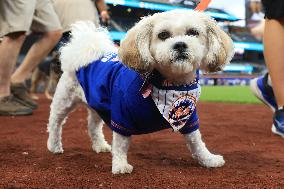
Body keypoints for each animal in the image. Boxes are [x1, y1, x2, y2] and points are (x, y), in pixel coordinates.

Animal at [46, 9, 233, 173]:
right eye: (163, 35)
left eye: (193, 32)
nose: (180, 44)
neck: (169, 84)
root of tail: (85, 50)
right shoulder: (122, 116)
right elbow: (120, 143)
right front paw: (120, 165)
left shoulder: (189, 117)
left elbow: (196, 141)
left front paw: (208, 159)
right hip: (64, 100)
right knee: (55, 123)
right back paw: (54, 146)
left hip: (97, 105)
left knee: (93, 126)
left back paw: (99, 145)